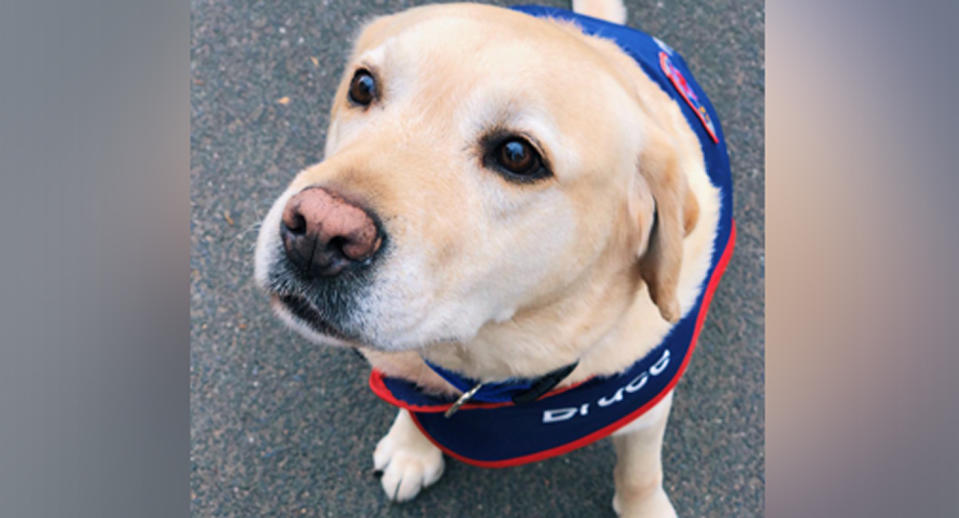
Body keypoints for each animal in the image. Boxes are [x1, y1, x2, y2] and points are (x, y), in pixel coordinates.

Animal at [251, 2, 732, 516]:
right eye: (362, 86)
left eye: (517, 154)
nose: (318, 232)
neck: (491, 373)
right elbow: (416, 402)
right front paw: (411, 448)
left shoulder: (646, 405)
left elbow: (640, 471)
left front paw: (645, 507)